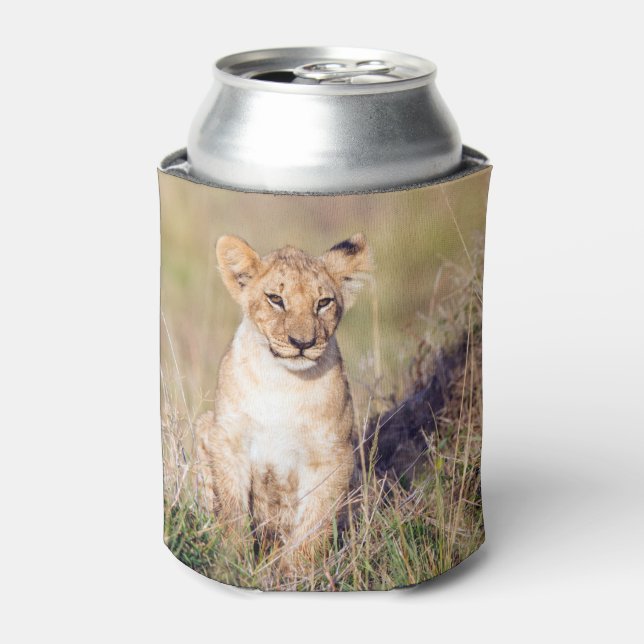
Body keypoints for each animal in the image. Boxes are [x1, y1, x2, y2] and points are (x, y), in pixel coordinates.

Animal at [195, 233, 372, 567]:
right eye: (276, 299)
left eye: (323, 302)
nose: (302, 343)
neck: (283, 382)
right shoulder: (228, 439)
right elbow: (232, 509)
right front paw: (233, 562)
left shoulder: (333, 455)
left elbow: (313, 525)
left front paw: (296, 572)